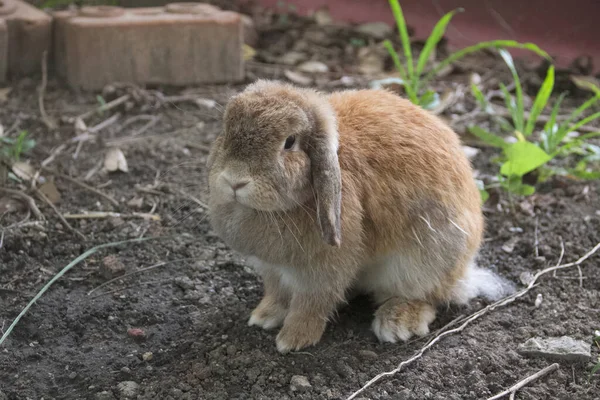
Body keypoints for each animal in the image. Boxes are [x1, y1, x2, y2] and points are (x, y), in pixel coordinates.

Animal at [205, 79, 510, 354]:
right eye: (225, 129)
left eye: (289, 143)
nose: (234, 181)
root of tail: (464, 274)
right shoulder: (273, 269)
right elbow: (277, 291)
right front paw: (263, 316)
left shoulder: (322, 272)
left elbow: (310, 305)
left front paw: (292, 340)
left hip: (426, 262)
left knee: (430, 297)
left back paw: (397, 322)